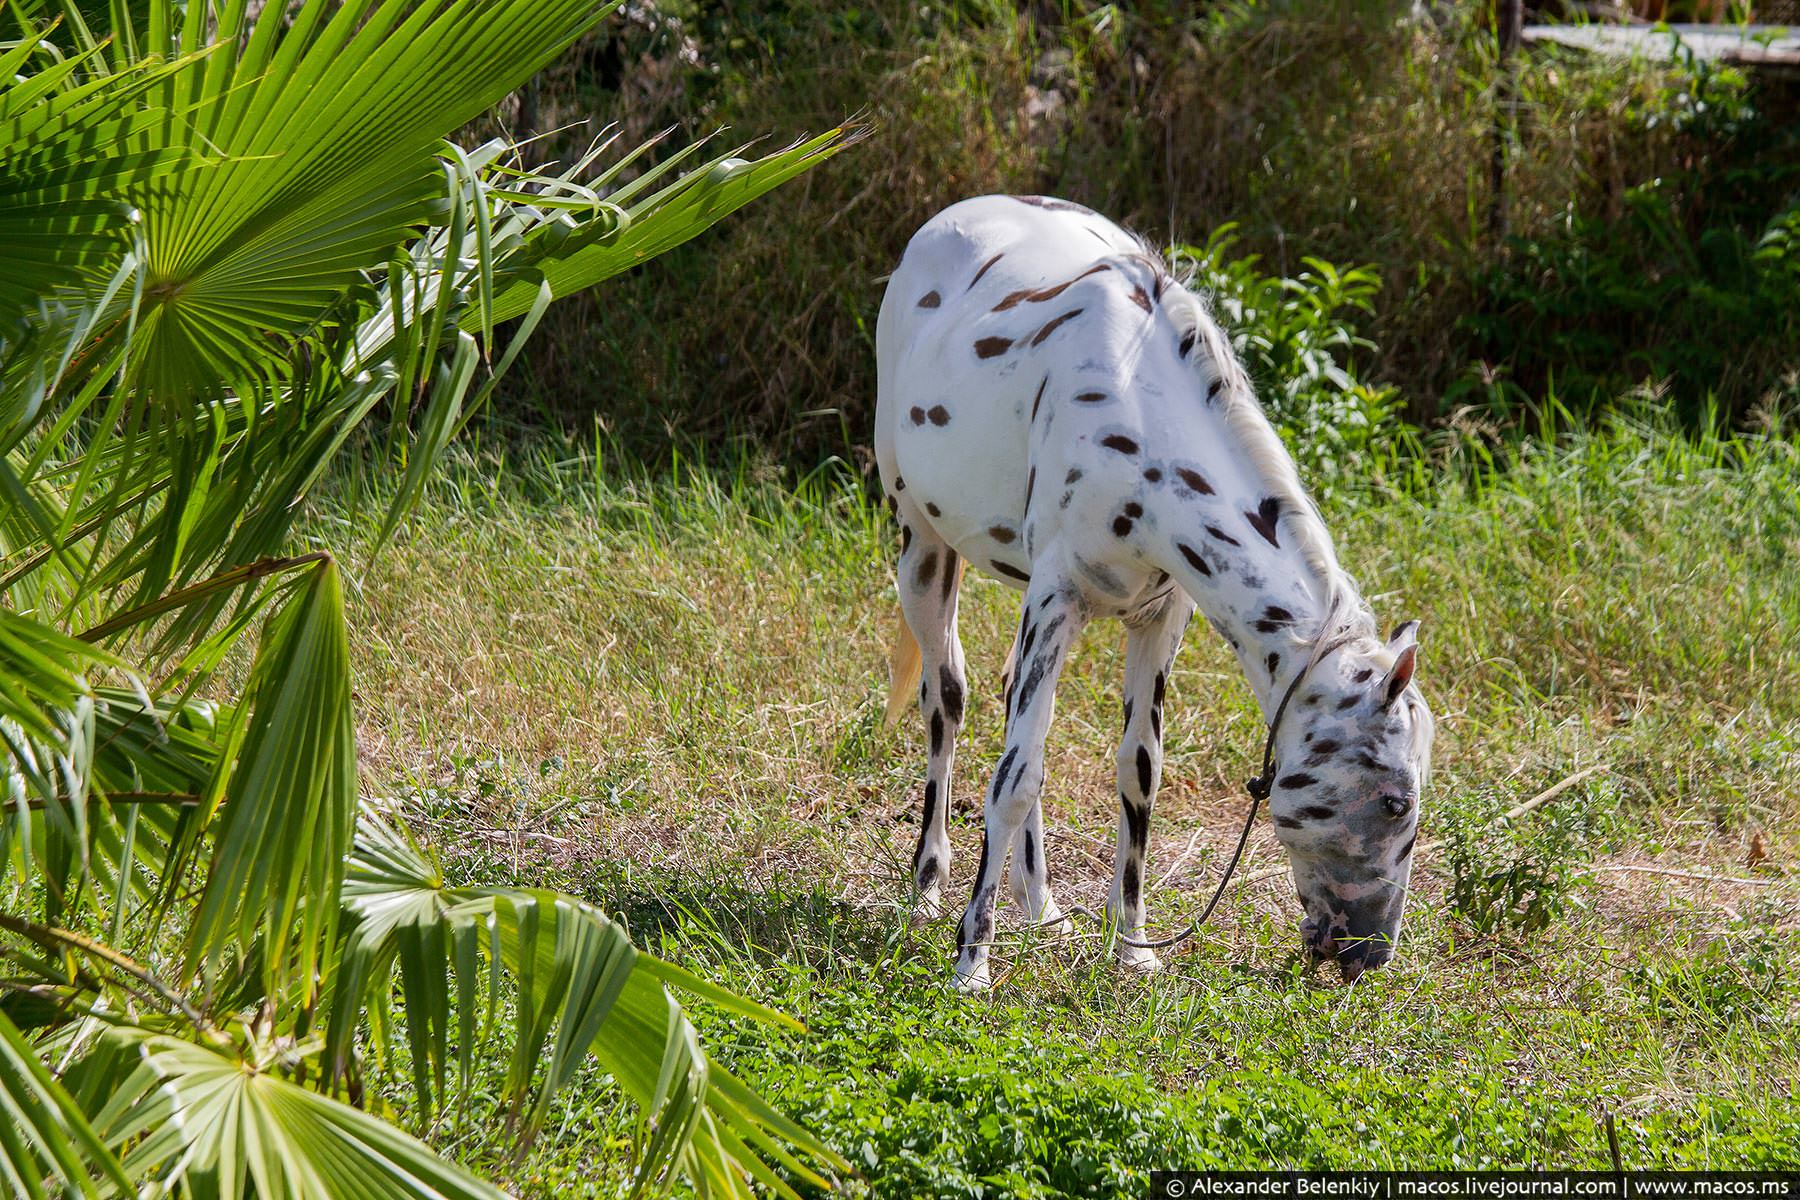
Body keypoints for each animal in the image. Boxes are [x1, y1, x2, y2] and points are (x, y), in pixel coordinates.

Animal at [871, 192, 1432, 993]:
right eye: (1393, 800)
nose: (1368, 954)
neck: (1139, 413)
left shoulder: (1161, 616)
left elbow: (1139, 770)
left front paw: (1131, 945)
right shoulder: (1056, 598)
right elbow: (1014, 776)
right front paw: (971, 959)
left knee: (1011, 703)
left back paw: (1041, 909)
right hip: (923, 547)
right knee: (946, 699)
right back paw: (926, 891)